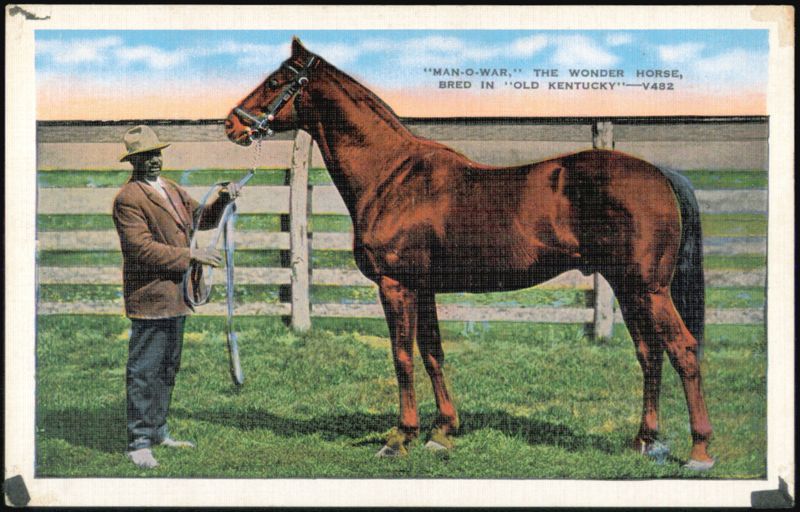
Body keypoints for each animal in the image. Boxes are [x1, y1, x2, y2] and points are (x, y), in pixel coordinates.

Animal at [225, 37, 714, 470]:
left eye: (276, 80)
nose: (233, 124)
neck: (391, 177)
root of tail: (660, 174)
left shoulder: (396, 286)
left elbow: (402, 356)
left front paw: (400, 437)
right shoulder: (423, 288)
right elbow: (432, 353)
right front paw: (442, 432)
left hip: (649, 289)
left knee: (683, 350)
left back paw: (700, 451)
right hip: (628, 287)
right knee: (649, 353)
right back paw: (644, 440)